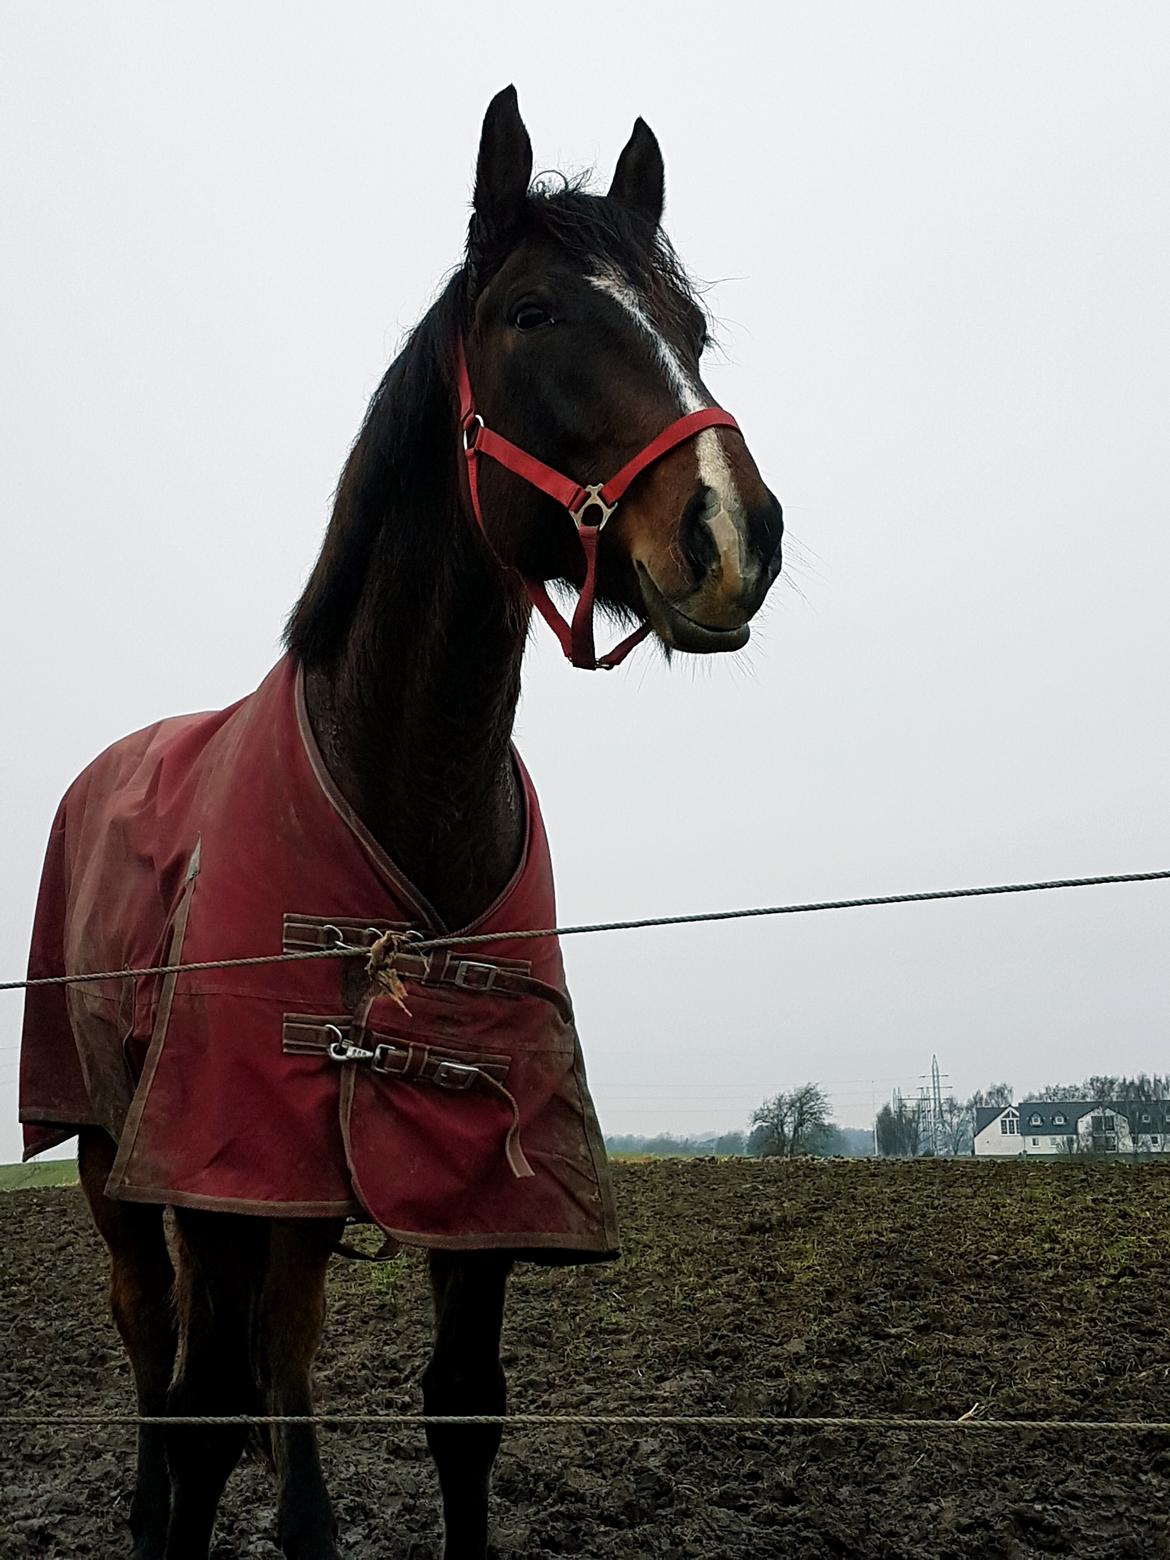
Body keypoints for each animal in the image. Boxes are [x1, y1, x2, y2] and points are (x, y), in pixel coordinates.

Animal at [15, 88, 789, 1560]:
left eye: (692, 328)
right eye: (532, 314)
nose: (732, 534)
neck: (402, 786)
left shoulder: (468, 1188)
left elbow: (458, 1409)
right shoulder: (215, 1166)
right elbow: (205, 1418)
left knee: (281, 1343)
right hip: (104, 1154)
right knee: (155, 1345)